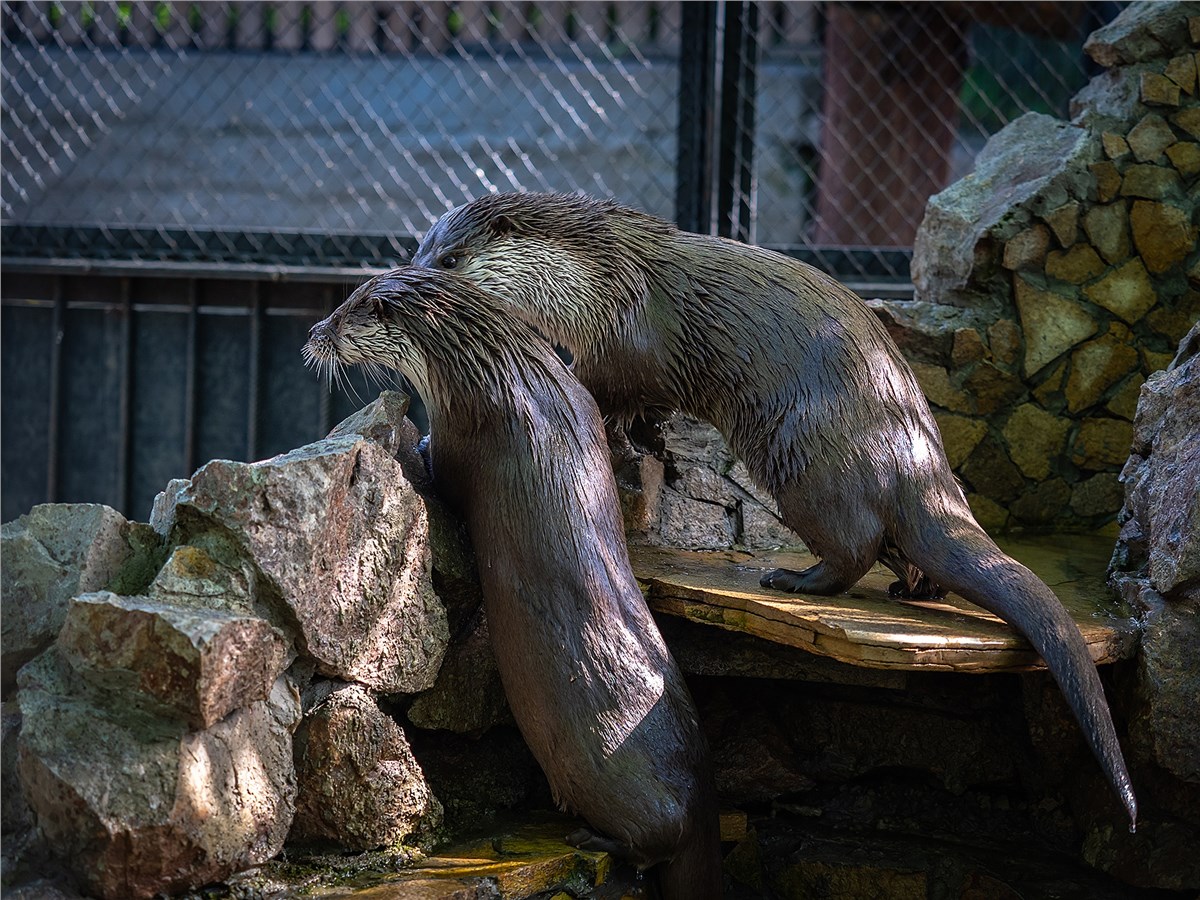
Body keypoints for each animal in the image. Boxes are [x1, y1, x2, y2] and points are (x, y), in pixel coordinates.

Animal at [304, 266, 724, 897]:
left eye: (347, 312)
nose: (314, 332)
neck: (496, 368)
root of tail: (702, 807)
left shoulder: (460, 430)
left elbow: (444, 475)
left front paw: (411, 445)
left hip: (635, 796)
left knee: (652, 841)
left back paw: (592, 837)